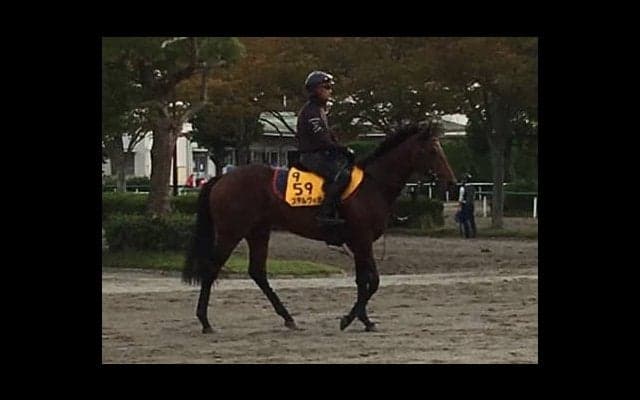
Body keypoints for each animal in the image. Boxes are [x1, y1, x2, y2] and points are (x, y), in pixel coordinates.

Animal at [182, 122, 457, 333]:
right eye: (433, 149)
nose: (452, 182)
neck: (373, 184)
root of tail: (222, 178)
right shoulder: (362, 240)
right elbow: (374, 281)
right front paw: (349, 319)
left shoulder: (358, 242)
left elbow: (363, 281)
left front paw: (363, 319)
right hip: (231, 232)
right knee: (211, 269)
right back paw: (205, 321)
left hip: (258, 231)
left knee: (258, 272)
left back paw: (288, 318)